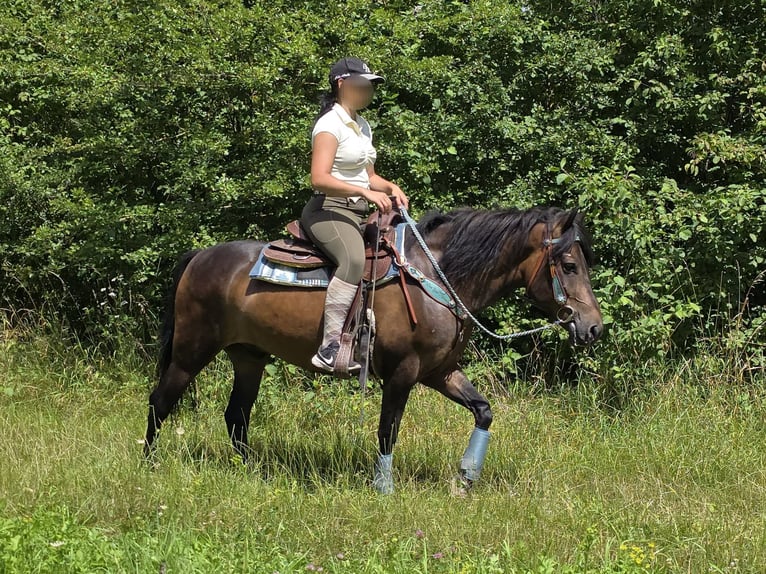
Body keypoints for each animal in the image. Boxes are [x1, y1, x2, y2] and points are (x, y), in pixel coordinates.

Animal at [144, 206, 603, 494]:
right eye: (569, 266)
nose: (594, 327)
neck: (435, 277)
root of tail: (200, 256)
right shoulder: (402, 373)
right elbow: (388, 430)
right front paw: (384, 487)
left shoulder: (441, 372)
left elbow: (483, 410)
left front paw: (466, 478)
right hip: (192, 350)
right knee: (160, 401)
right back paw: (150, 466)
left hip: (248, 356)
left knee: (237, 415)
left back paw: (252, 472)